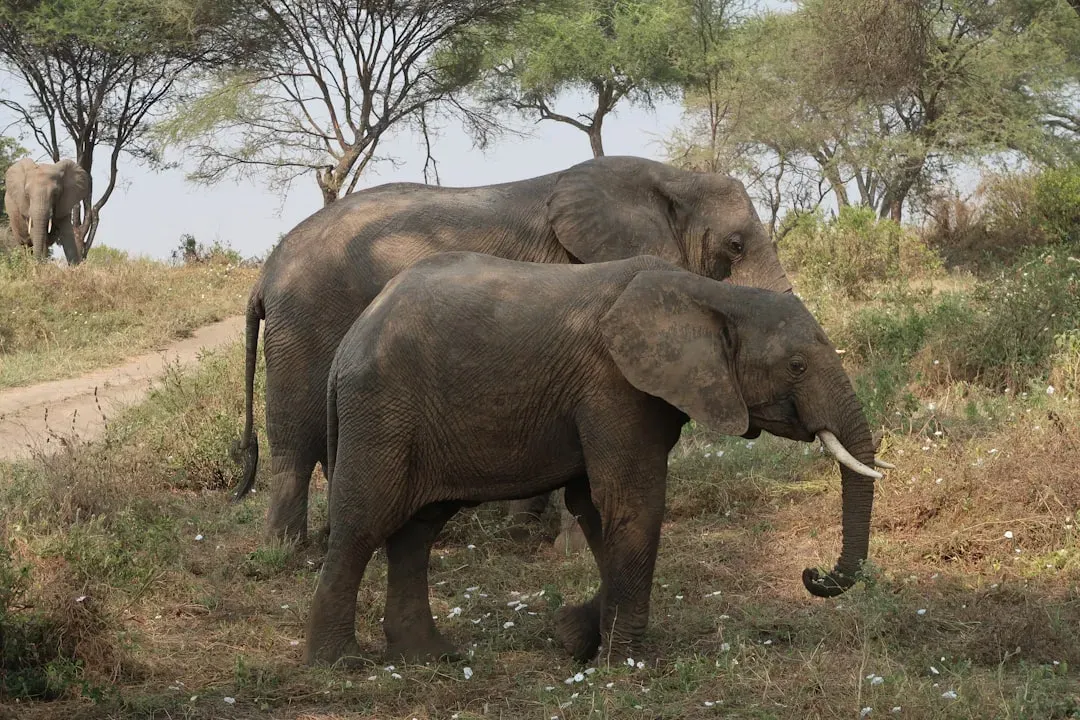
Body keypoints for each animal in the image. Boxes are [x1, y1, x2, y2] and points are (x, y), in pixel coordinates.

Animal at [231, 155, 794, 544]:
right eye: (736, 246)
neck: (672, 177)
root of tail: (266, 273)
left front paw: (524, 529)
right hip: (305, 322)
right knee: (296, 437)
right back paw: (289, 552)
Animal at [304, 251, 890, 667]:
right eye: (796, 366)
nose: (812, 573)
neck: (712, 294)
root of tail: (350, 340)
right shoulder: (614, 384)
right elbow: (631, 501)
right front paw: (625, 665)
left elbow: (594, 506)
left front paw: (575, 638)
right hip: (381, 407)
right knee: (364, 521)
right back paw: (340, 664)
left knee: (418, 529)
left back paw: (432, 657)